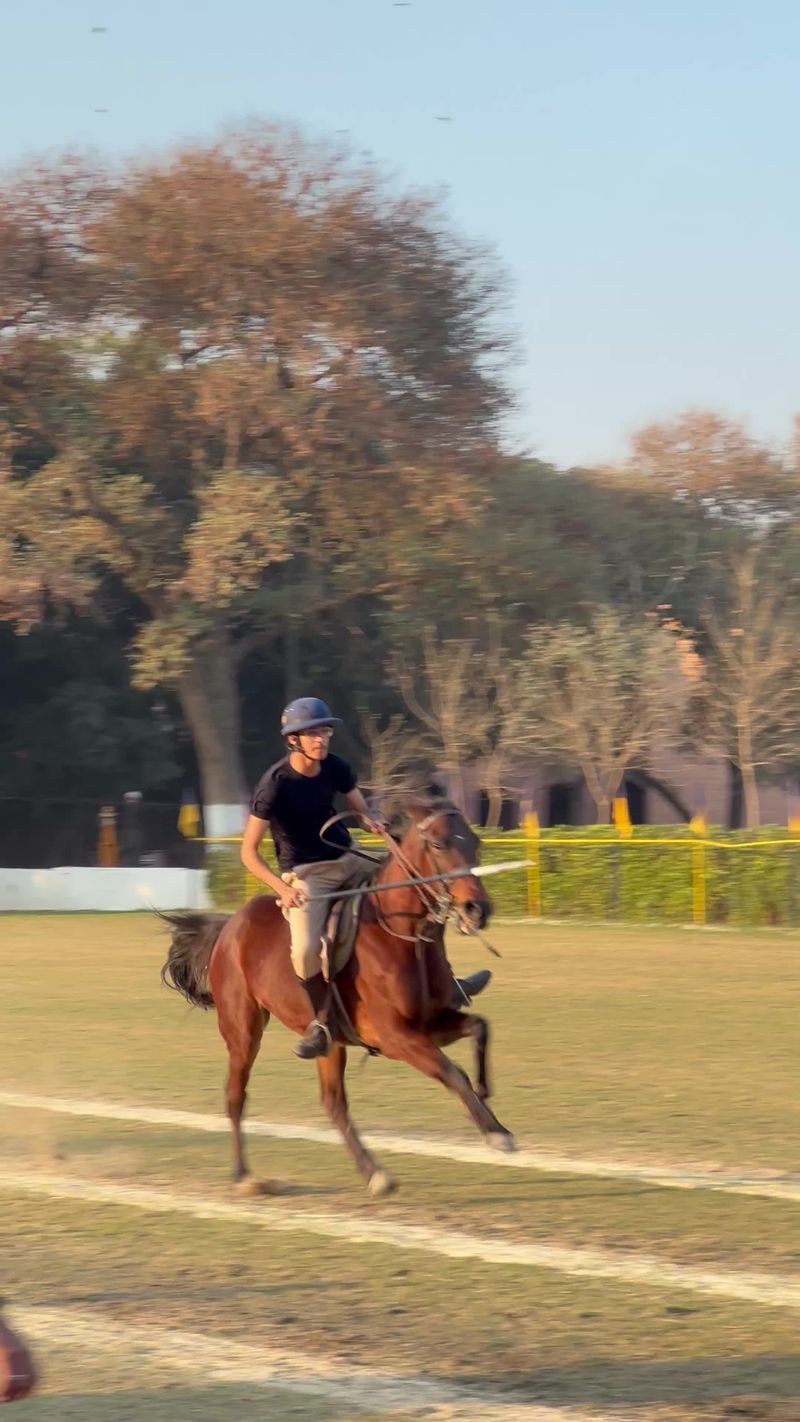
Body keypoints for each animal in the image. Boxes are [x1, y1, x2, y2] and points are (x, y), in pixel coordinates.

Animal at [160, 794, 515, 1197]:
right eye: (439, 844)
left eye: (476, 842)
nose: (478, 910)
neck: (402, 935)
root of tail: (228, 925)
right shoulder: (396, 1037)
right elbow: (452, 1072)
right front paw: (497, 1134)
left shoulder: (429, 1024)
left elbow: (480, 1027)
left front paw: (486, 1094)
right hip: (243, 1030)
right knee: (236, 1096)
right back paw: (244, 1176)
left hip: (331, 1043)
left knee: (333, 1102)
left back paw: (374, 1173)